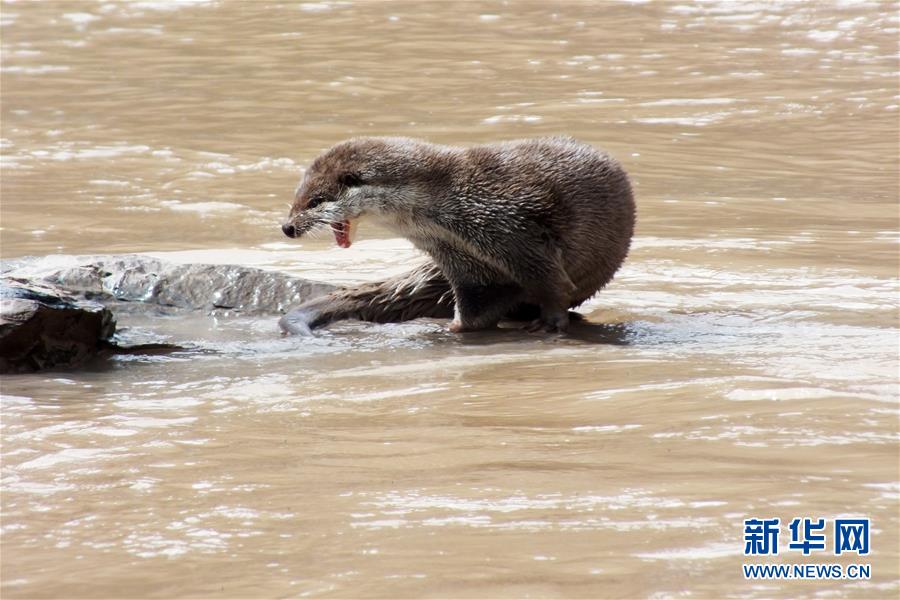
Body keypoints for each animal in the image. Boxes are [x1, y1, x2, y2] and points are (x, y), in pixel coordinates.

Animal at [280, 135, 632, 332]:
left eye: (315, 201)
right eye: (296, 197)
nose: (288, 227)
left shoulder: (517, 232)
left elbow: (553, 283)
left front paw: (550, 324)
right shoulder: (458, 258)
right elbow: (476, 302)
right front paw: (455, 328)